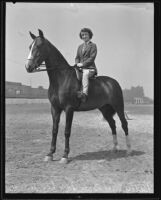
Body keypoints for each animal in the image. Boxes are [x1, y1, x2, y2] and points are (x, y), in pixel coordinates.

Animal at [25, 29, 131, 164]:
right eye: (30, 46)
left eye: (39, 46)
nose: (28, 67)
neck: (61, 78)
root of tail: (113, 82)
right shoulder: (55, 109)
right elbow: (54, 130)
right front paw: (50, 154)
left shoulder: (69, 109)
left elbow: (67, 131)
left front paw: (65, 156)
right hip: (105, 109)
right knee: (112, 124)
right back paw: (114, 148)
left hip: (118, 107)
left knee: (124, 124)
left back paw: (129, 150)